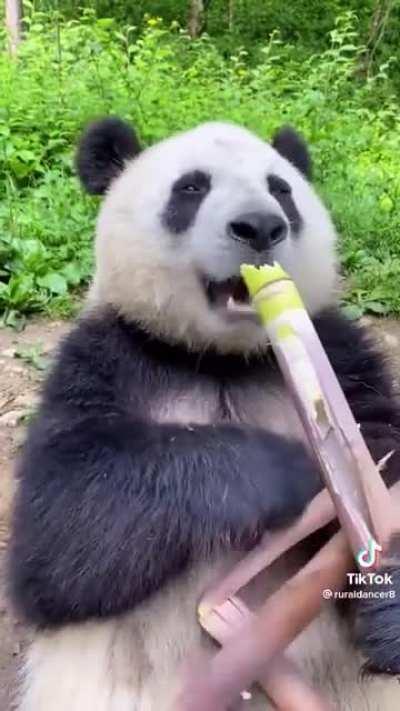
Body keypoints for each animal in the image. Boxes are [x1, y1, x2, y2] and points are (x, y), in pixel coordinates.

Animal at [8, 117, 400, 711]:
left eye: (281, 190)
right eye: (191, 188)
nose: (260, 226)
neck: (223, 359)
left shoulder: (345, 357)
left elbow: (384, 448)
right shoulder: (105, 358)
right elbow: (59, 531)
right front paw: (287, 473)